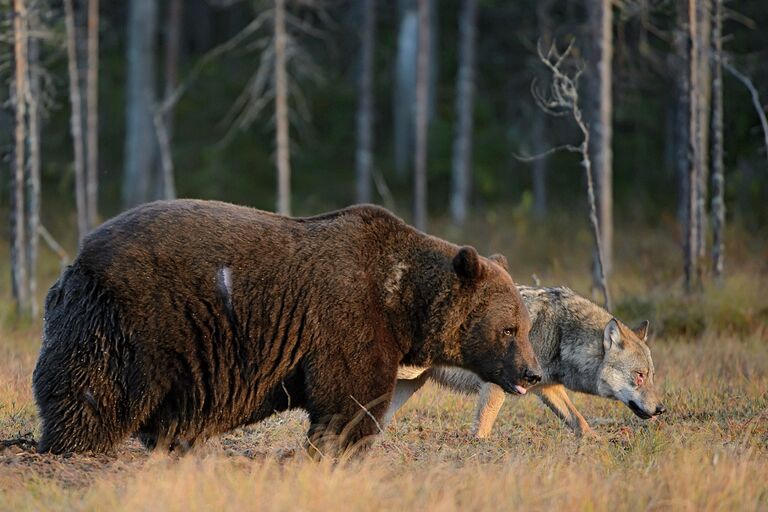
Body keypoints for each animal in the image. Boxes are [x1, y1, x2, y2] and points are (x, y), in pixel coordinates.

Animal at [33, 200, 540, 456]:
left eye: (526, 325)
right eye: (509, 329)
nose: (532, 373)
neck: (403, 301)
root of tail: (77, 258)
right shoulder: (349, 320)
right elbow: (350, 399)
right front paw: (337, 448)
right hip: (134, 321)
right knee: (97, 389)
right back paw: (77, 445)